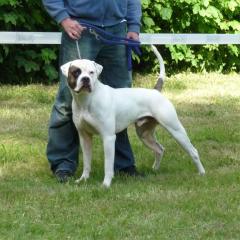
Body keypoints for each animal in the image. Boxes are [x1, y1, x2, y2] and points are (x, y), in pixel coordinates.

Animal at [61, 53, 205, 188]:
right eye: (76, 72)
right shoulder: (85, 137)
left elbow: (108, 165)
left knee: (193, 151)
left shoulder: (108, 137)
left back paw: (202, 173)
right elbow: (87, 162)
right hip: (144, 135)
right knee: (159, 149)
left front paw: (106, 184)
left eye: (92, 72)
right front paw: (83, 179)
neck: (86, 100)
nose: (86, 79)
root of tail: (155, 91)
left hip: (175, 130)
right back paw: (155, 170)